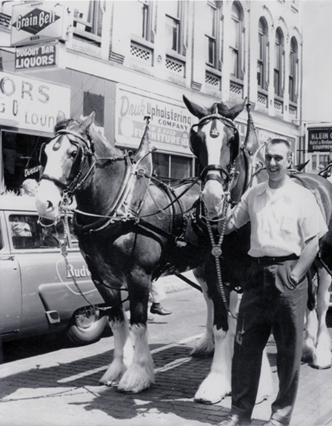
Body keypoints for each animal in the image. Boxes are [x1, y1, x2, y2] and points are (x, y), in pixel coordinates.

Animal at [35, 110, 272, 402]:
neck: (118, 207)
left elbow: (138, 324)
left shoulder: (139, 276)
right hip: (205, 266)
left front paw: (137, 375)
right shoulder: (103, 279)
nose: (43, 204)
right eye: (45, 152)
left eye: (73, 153)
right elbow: (117, 323)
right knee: (211, 300)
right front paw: (117, 369)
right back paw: (208, 344)